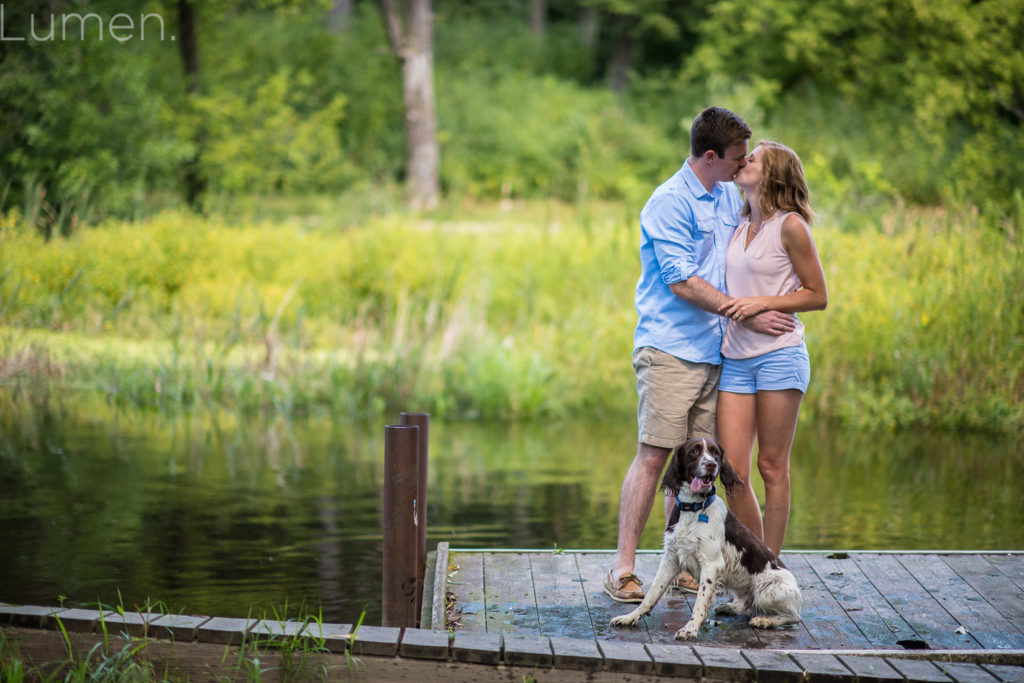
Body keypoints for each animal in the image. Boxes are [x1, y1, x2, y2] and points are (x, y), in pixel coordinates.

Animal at [606, 438, 798, 643]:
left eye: (715, 453)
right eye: (694, 451)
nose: (711, 464)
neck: (693, 508)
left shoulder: (711, 564)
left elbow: (699, 602)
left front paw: (690, 630)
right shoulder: (671, 559)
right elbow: (651, 594)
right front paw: (629, 617)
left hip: (767, 590)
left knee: (792, 616)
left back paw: (764, 620)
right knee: (745, 607)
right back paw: (729, 607)